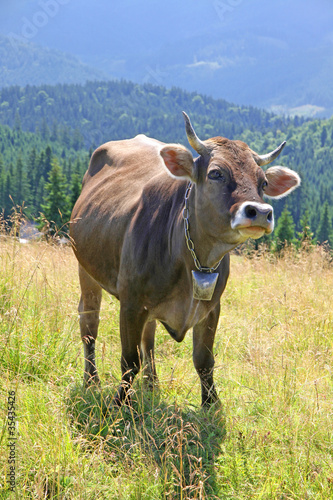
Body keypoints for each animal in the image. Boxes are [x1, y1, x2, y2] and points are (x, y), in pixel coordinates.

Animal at [69, 113, 298, 406]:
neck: (196, 261)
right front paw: (121, 403)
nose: (259, 212)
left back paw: (152, 385)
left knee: (148, 339)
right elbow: (129, 360)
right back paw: (91, 380)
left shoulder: (211, 307)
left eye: (264, 183)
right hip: (85, 268)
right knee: (89, 323)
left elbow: (204, 361)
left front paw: (211, 405)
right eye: (216, 173)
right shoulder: (131, 302)